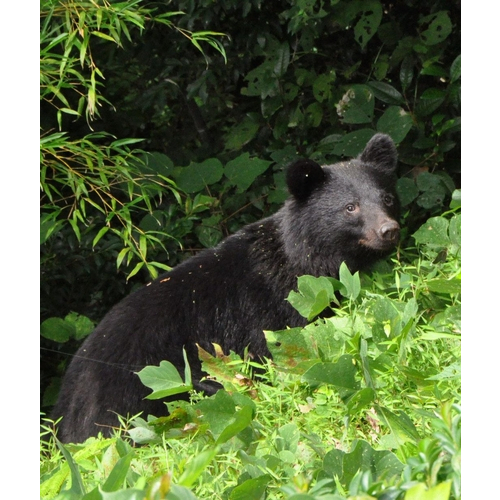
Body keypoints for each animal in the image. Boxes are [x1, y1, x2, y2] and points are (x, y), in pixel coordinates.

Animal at [52, 132, 400, 442]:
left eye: (387, 198)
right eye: (350, 207)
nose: (389, 230)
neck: (306, 260)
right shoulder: (268, 309)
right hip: (140, 393)